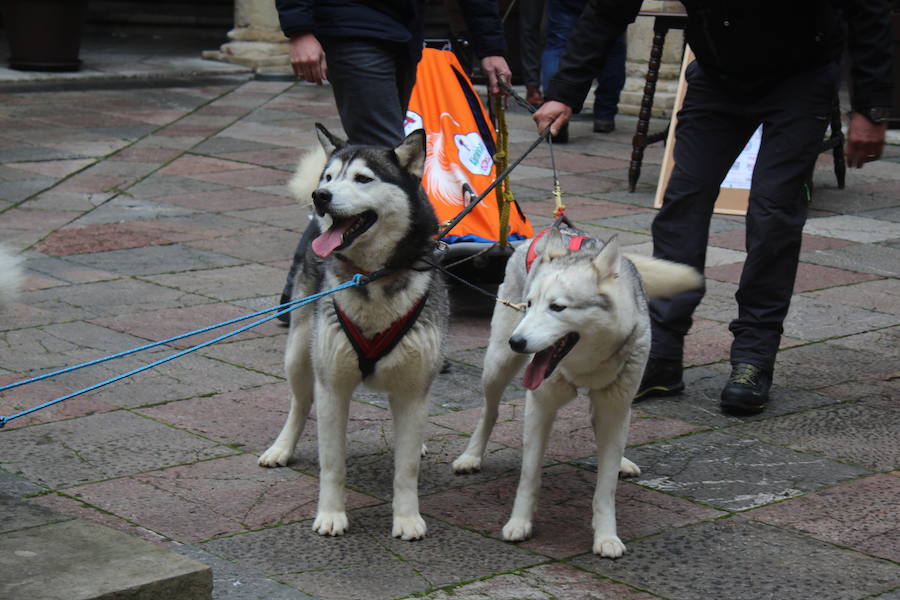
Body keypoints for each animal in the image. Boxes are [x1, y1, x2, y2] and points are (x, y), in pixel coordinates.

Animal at [258, 124, 448, 540]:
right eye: (329, 177)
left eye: (363, 178)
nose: (321, 196)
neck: (373, 278)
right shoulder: (332, 387)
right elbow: (333, 463)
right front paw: (331, 514)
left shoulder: (414, 389)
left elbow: (406, 468)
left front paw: (407, 518)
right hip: (299, 352)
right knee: (299, 404)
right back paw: (281, 447)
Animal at [450, 226, 704, 556]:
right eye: (530, 305)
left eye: (557, 307)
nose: (517, 342)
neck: (585, 365)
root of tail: (548, 232)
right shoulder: (540, 406)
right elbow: (529, 475)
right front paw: (519, 522)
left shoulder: (614, 406)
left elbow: (606, 486)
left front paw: (606, 536)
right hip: (497, 366)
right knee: (489, 412)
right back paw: (472, 455)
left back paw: (621, 461)